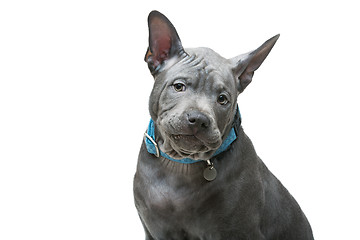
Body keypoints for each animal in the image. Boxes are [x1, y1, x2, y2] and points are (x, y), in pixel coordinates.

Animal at [134, 10, 314, 239]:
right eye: (179, 86)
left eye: (222, 99)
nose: (198, 119)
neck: (181, 165)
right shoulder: (155, 230)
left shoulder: (240, 231)